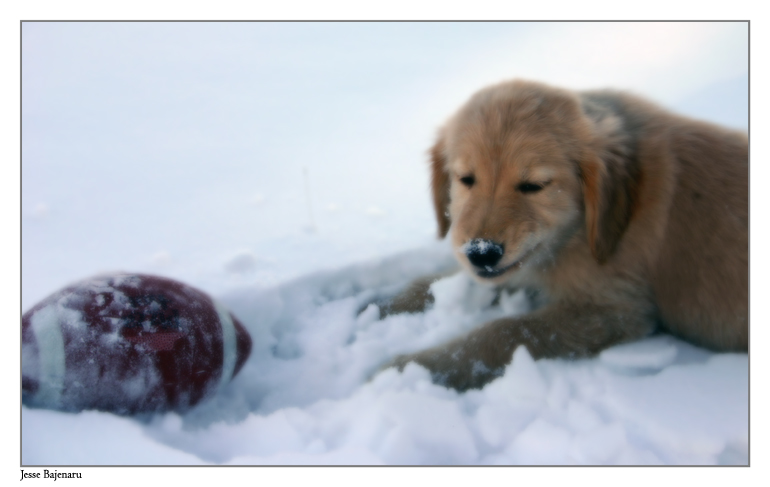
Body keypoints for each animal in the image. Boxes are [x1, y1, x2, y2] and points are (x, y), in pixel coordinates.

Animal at [378, 80, 744, 392]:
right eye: (466, 179)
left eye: (534, 186)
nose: (481, 253)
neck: (579, 232)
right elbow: (433, 284)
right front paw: (381, 305)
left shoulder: (613, 309)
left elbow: (504, 332)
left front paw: (411, 369)